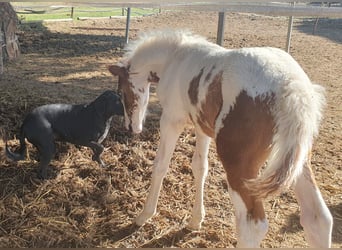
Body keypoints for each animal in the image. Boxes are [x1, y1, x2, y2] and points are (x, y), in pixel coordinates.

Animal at [109, 30, 332, 247]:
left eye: (122, 92)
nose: (131, 127)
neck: (175, 57)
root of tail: (291, 86)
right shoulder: (201, 127)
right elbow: (200, 167)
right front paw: (195, 221)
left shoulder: (171, 120)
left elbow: (160, 165)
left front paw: (144, 216)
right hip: (297, 161)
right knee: (318, 219)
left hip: (239, 167)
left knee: (252, 226)